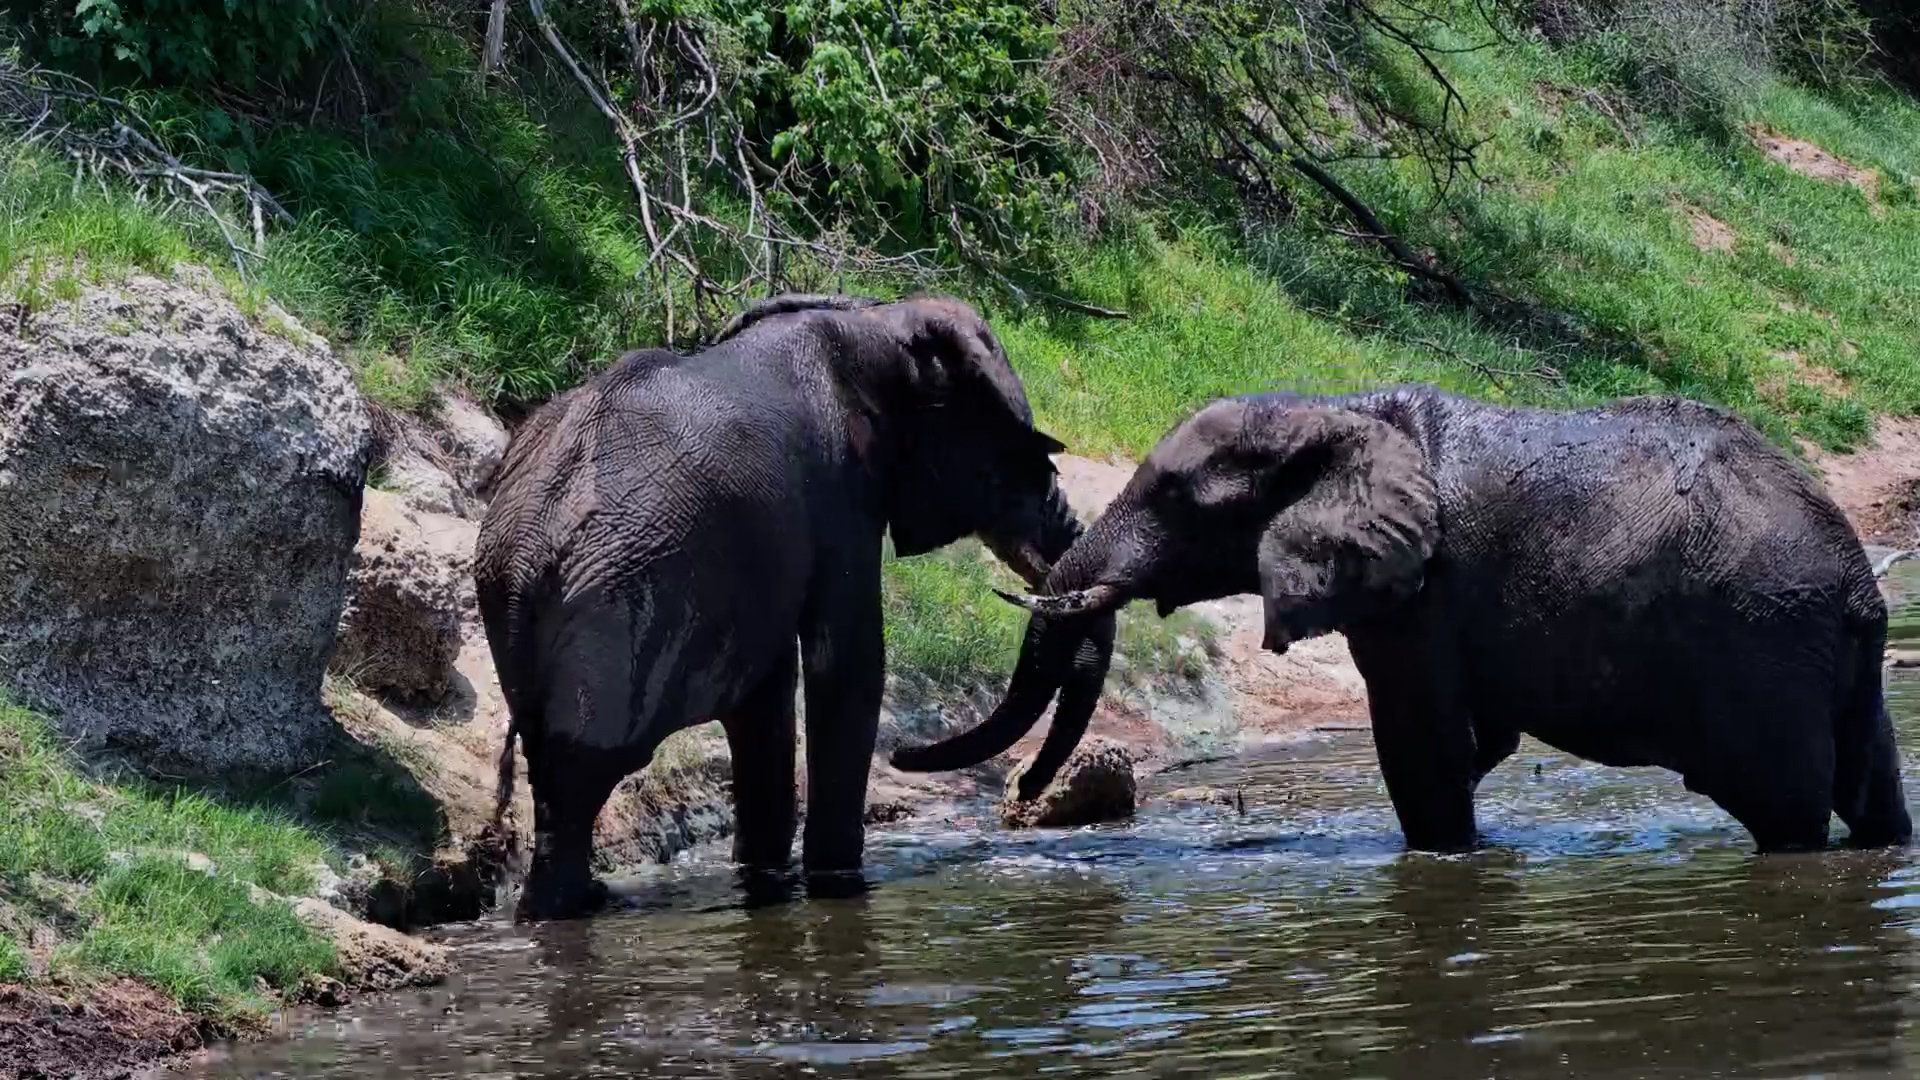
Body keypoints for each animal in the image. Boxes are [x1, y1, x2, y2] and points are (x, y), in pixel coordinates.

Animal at [475, 293, 1100, 921]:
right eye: (1018, 449)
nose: (1022, 791)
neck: (878, 321)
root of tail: (527, 550)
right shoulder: (841, 488)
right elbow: (848, 665)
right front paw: (840, 882)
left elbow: (767, 694)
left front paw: (765, 875)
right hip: (610, 609)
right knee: (582, 777)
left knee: (556, 777)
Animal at [892, 384, 1913, 853]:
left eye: (1178, 499)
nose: (1020, 800)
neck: (1332, 411)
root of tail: (1860, 580)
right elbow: (1474, 740)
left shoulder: (1421, 595)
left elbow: (1421, 746)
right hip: (1824, 653)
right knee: (1869, 789)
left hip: (1764, 645)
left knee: (1786, 808)